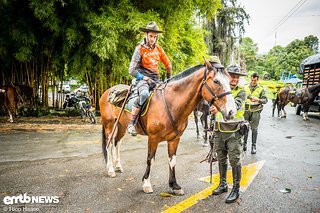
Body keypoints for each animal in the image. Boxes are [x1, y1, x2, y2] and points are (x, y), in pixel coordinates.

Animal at [100, 58, 238, 195]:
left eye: (229, 81)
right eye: (216, 81)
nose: (232, 112)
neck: (171, 103)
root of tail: (107, 92)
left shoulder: (174, 139)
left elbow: (172, 160)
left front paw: (174, 185)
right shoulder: (153, 138)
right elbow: (150, 159)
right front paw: (146, 183)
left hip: (121, 126)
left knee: (117, 143)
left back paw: (118, 166)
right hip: (109, 125)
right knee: (109, 145)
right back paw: (111, 169)